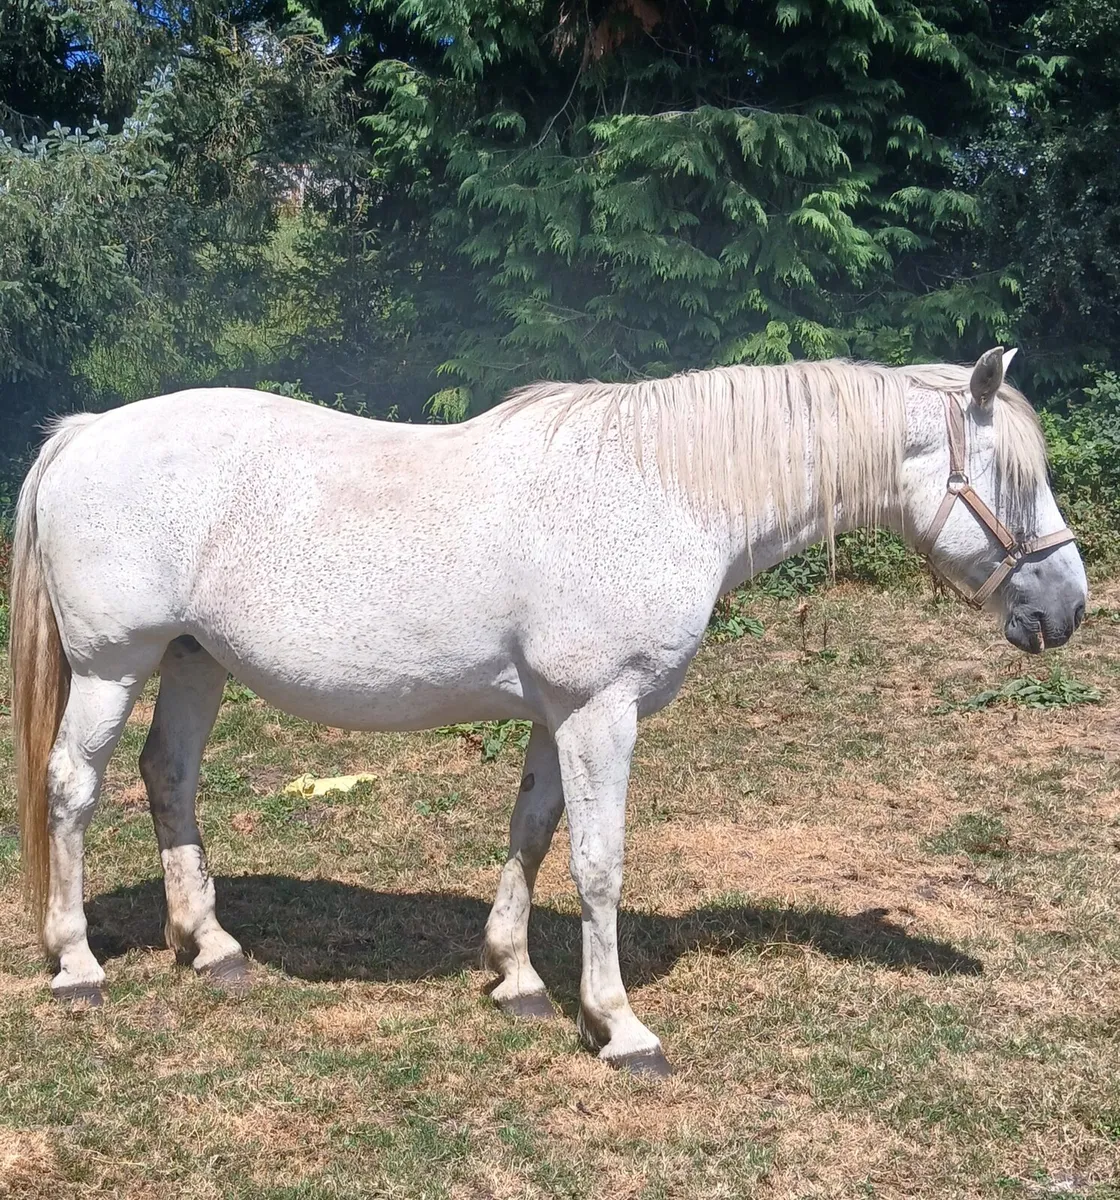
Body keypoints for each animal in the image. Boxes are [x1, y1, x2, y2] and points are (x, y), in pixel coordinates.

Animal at [9, 346, 1086, 1075]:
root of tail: (85, 432)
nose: (1066, 609)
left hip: (194, 662)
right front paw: (619, 1027)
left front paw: (516, 979)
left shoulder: (553, 716)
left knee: (169, 778)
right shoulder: (601, 713)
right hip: (113, 667)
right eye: (1014, 480)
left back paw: (213, 948)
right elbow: (598, 865)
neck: (664, 492)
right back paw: (77, 965)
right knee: (74, 787)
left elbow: (529, 832)